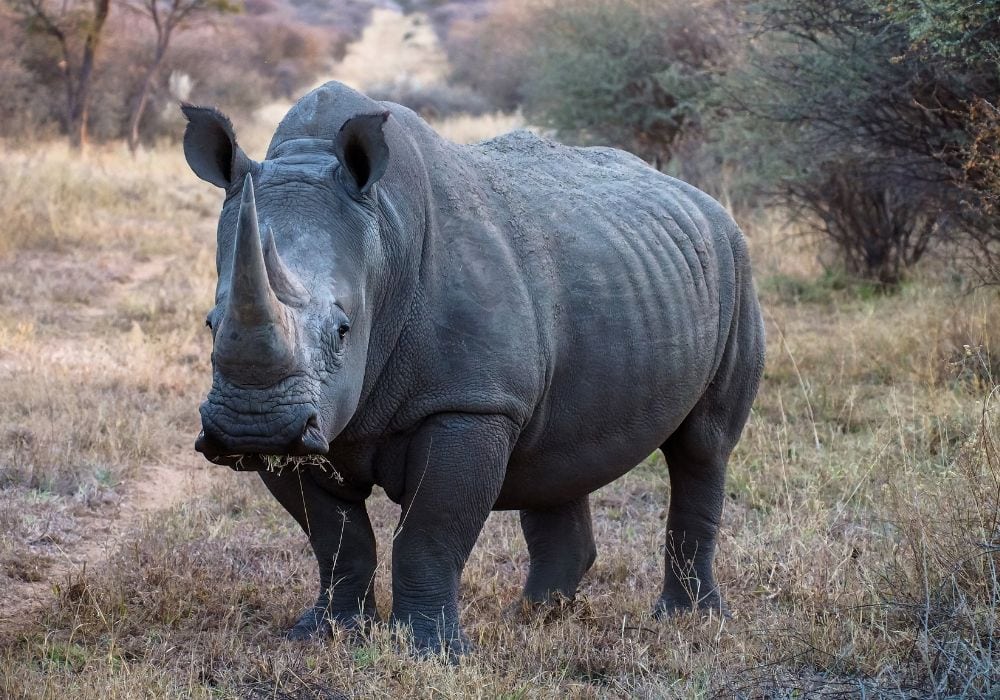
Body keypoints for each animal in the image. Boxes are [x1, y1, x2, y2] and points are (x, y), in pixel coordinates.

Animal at [183, 81, 765, 655]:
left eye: (343, 330)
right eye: (210, 323)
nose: (252, 428)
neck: (384, 233)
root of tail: (702, 199)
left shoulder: (472, 403)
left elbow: (429, 532)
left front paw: (431, 652)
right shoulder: (315, 422)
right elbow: (337, 539)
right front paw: (326, 633)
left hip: (736, 265)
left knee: (703, 446)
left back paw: (687, 618)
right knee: (559, 455)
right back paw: (536, 616)